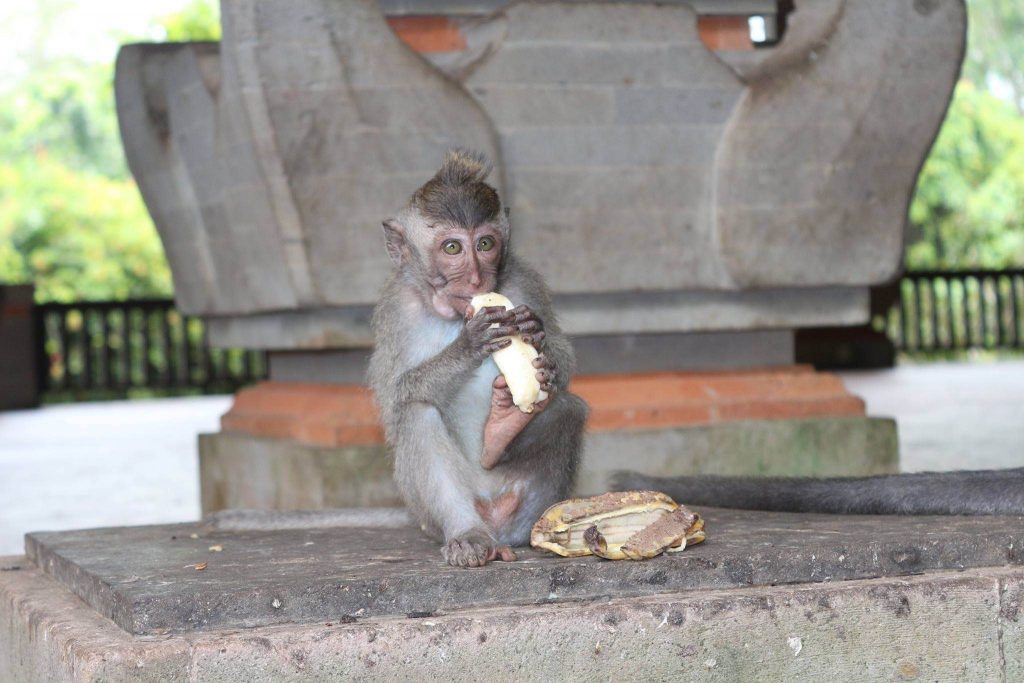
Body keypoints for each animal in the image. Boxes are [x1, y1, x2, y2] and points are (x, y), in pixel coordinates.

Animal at [370, 152, 589, 569]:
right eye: (453, 249)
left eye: (486, 244)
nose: (475, 278)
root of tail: (495, 526)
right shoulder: (396, 309)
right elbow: (394, 399)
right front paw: (468, 345)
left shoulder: (523, 281)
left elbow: (566, 364)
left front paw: (538, 338)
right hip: (430, 515)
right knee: (417, 412)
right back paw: (469, 536)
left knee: (566, 408)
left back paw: (503, 434)